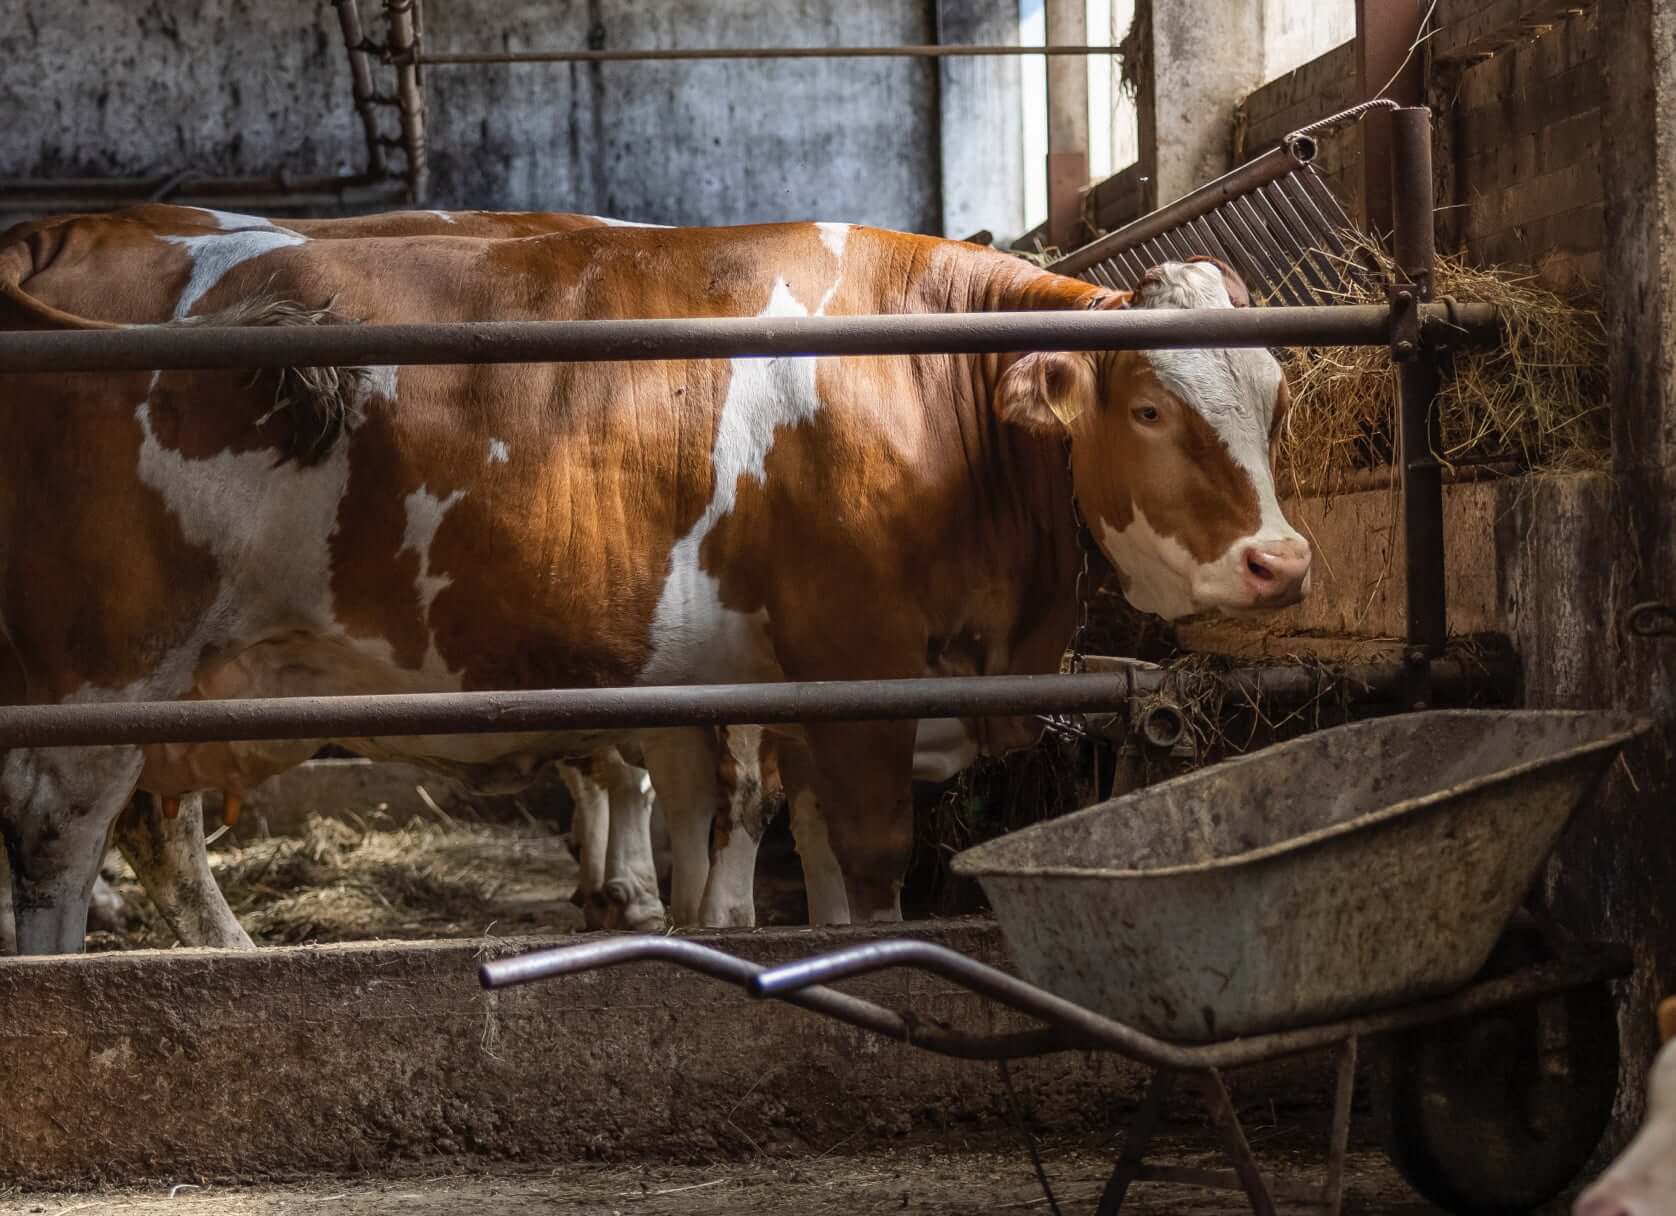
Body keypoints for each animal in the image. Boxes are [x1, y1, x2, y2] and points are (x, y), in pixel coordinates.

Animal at [0, 221, 1307, 964]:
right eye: (1149, 405)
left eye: (1276, 391)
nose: (1281, 562)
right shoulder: (856, 655)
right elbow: (859, 857)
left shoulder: (790, 681)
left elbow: (793, 837)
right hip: (114, 665)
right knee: (65, 835)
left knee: (140, 828)